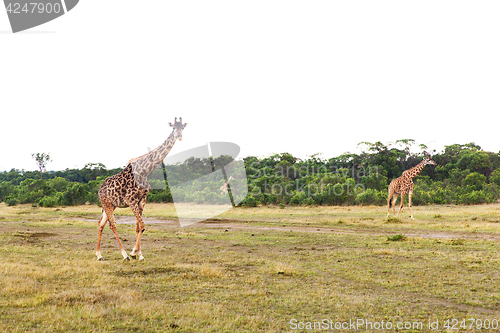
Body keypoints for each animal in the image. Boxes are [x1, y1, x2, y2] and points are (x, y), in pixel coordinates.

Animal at [94, 116, 187, 260]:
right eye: (173, 127)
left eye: (182, 127)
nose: (180, 136)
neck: (145, 171)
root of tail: (100, 189)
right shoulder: (131, 200)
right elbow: (142, 225)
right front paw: (135, 254)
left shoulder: (142, 200)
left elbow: (138, 227)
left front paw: (137, 253)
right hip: (106, 203)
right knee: (112, 225)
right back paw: (124, 255)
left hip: (112, 205)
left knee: (100, 224)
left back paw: (99, 255)